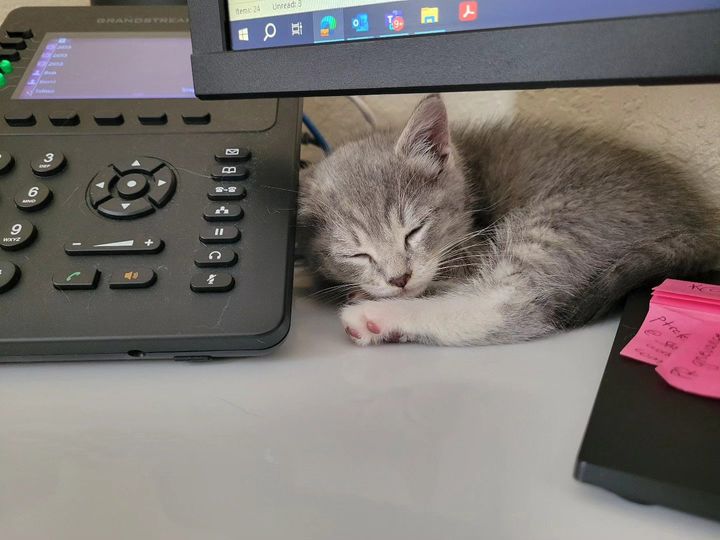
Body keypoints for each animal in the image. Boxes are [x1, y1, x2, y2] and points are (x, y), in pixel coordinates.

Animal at [298, 94, 720, 346]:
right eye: (357, 254)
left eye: (414, 231)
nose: (399, 279)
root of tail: (699, 222)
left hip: (562, 219)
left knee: (509, 305)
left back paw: (375, 316)